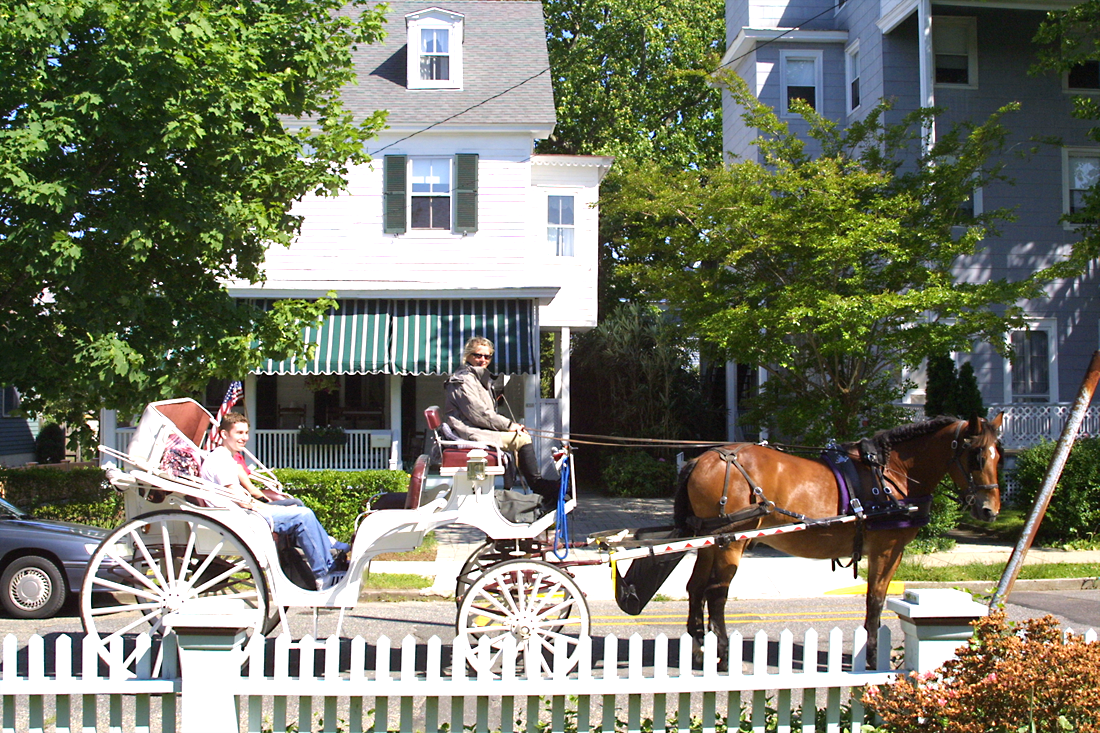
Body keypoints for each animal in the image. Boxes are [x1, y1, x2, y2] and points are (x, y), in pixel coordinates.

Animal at [673, 413, 1003, 664]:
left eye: (998, 456)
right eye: (976, 457)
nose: (990, 510)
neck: (891, 475)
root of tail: (702, 459)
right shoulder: (887, 549)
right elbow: (876, 599)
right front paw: (872, 657)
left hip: (710, 541)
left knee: (696, 588)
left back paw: (699, 650)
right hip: (731, 540)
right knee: (716, 593)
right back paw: (724, 656)